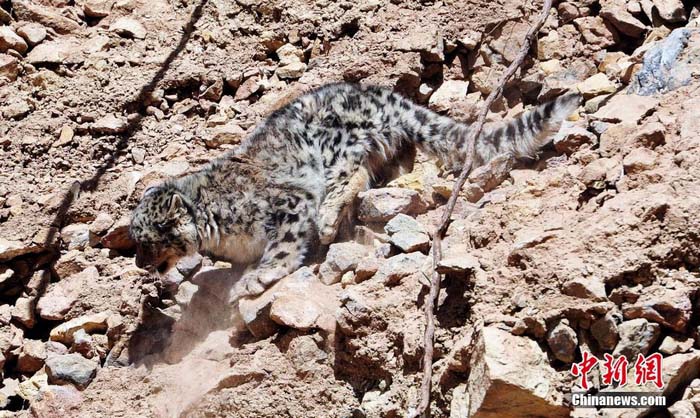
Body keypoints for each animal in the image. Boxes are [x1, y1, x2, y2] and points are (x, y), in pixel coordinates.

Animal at [130, 81, 580, 298]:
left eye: (147, 241)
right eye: (135, 241)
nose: (136, 263)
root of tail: (381, 94)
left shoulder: (285, 202)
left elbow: (282, 247)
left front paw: (256, 279)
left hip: (335, 147)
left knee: (352, 174)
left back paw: (329, 220)